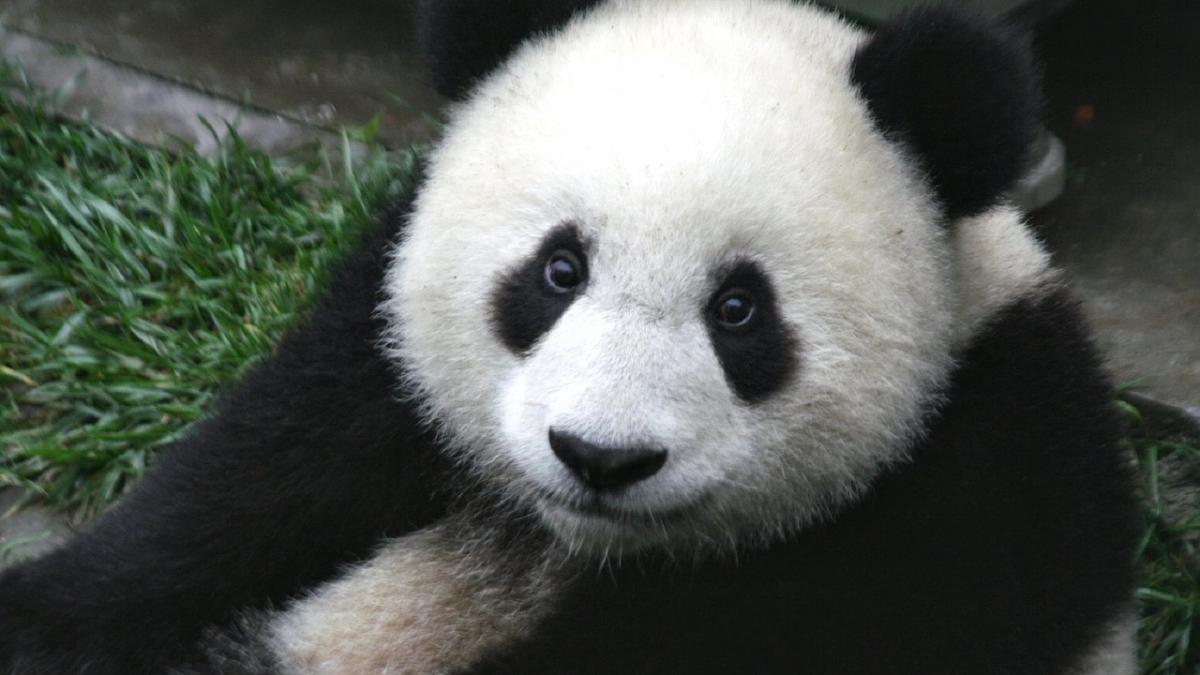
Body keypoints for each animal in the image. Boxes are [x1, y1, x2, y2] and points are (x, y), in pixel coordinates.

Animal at [0, 1, 1137, 673]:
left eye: (739, 311)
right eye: (558, 271)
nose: (601, 456)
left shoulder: (969, 499)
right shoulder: (381, 352)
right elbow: (251, 478)